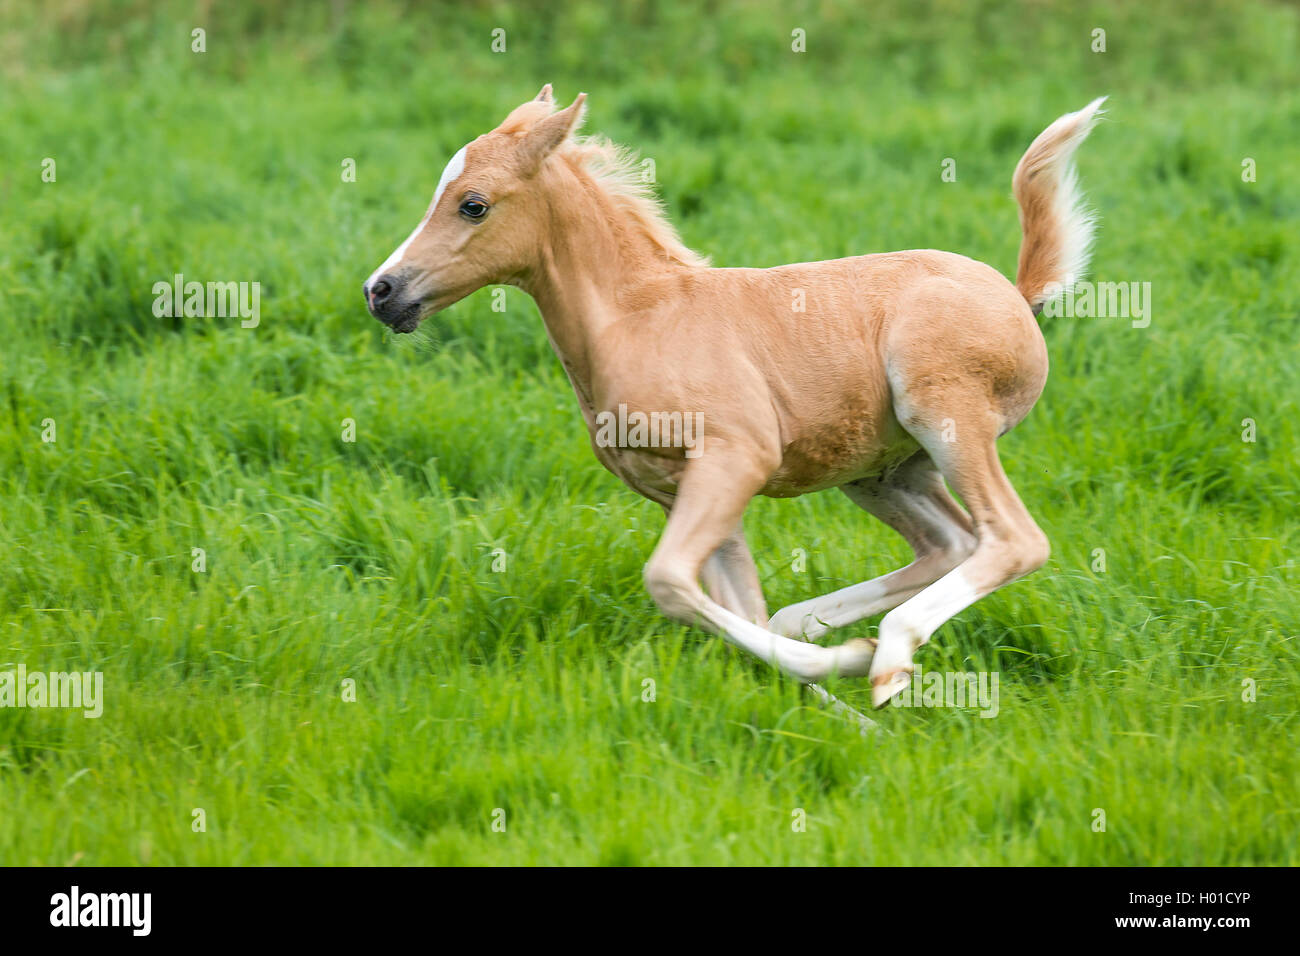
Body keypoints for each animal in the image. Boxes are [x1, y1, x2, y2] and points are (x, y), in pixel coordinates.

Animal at [366, 85, 1107, 707]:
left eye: (474, 204)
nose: (382, 291)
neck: (637, 318)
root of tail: (1018, 293)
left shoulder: (735, 458)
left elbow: (668, 582)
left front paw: (844, 665)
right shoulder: (685, 488)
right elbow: (738, 610)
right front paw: (838, 695)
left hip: (946, 417)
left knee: (1014, 539)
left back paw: (889, 656)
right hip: (880, 472)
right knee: (950, 543)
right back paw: (835, 636)